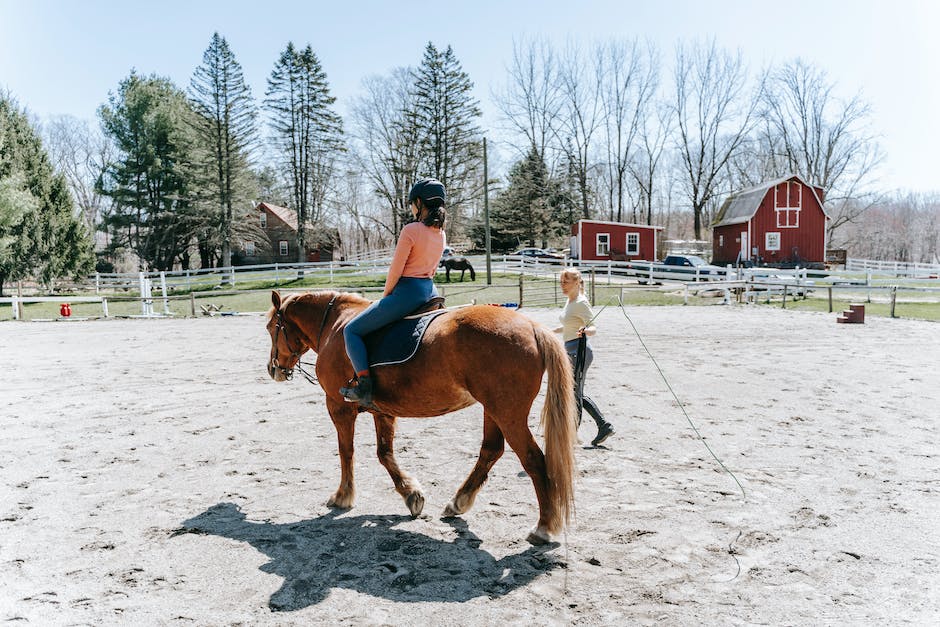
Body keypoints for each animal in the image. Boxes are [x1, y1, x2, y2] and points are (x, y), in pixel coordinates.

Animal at [262, 290, 572, 544]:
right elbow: (384, 453)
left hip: (508, 413)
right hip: (494, 410)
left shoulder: (338, 407)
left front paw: (343, 496)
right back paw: (458, 502)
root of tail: (531, 326)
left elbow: (346, 451)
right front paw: (411, 495)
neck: (335, 324)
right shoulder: (382, 411)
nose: (272, 368)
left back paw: (543, 527)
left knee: (533, 460)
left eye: (270, 328)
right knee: (491, 450)